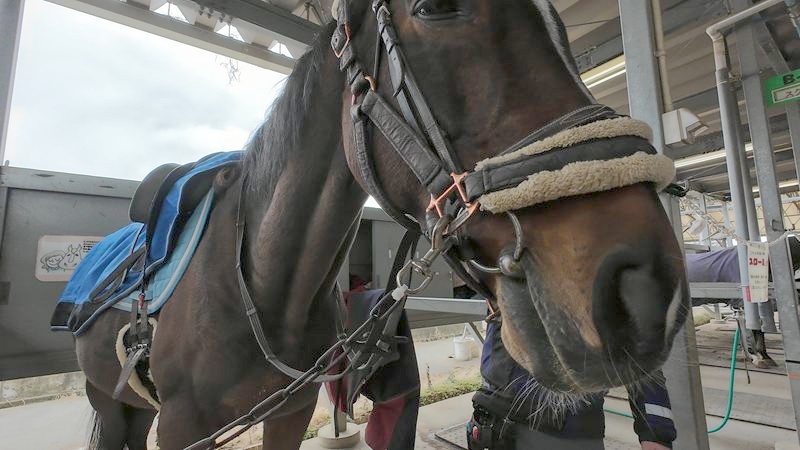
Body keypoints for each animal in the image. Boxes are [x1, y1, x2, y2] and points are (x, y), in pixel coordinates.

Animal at [71, 1, 689, 449]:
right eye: (435, 6)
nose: (644, 286)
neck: (260, 286)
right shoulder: (180, 426)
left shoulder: (291, 412)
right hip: (109, 399)